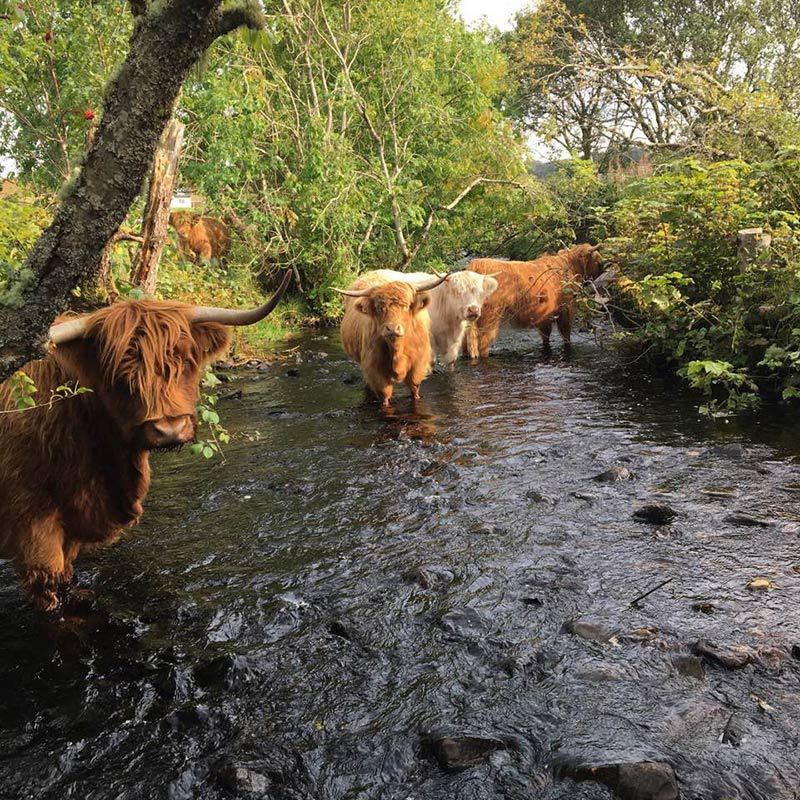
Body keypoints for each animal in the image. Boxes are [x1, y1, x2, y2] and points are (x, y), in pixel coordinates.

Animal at [336, 273, 449, 406]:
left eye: (406, 306)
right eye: (379, 308)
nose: (392, 328)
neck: (397, 350)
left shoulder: (418, 364)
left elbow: (414, 388)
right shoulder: (375, 368)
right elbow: (385, 394)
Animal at [355, 270, 499, 370]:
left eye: (479, 292)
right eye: (457, 291)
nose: (473, 310)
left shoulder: (454, 339)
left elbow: (450, 360)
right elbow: (430, 361)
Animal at [466, 244, 603, 358]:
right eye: (597, 260)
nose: (604, 267)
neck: (569, 267)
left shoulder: (545, 314)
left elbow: (546, 335)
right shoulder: (566, 309)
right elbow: (566, 335)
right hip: (489, 320)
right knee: (482, 346)